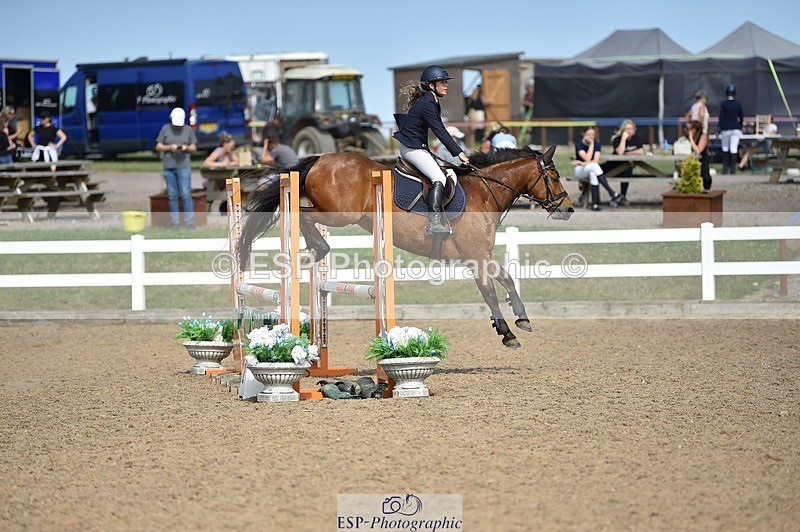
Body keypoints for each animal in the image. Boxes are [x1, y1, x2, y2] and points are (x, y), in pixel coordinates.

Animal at [239, 145, 574, 347]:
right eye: (555, 176)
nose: (568, 209)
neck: (484, 192)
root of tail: (321, 158)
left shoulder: (484, 256)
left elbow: (508, 279)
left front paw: (523, 317)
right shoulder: (476, 257)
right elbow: (490, 294)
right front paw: (507, 334)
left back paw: (313, 249)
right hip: (339, 214)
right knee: (298, 212)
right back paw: (316, 249)